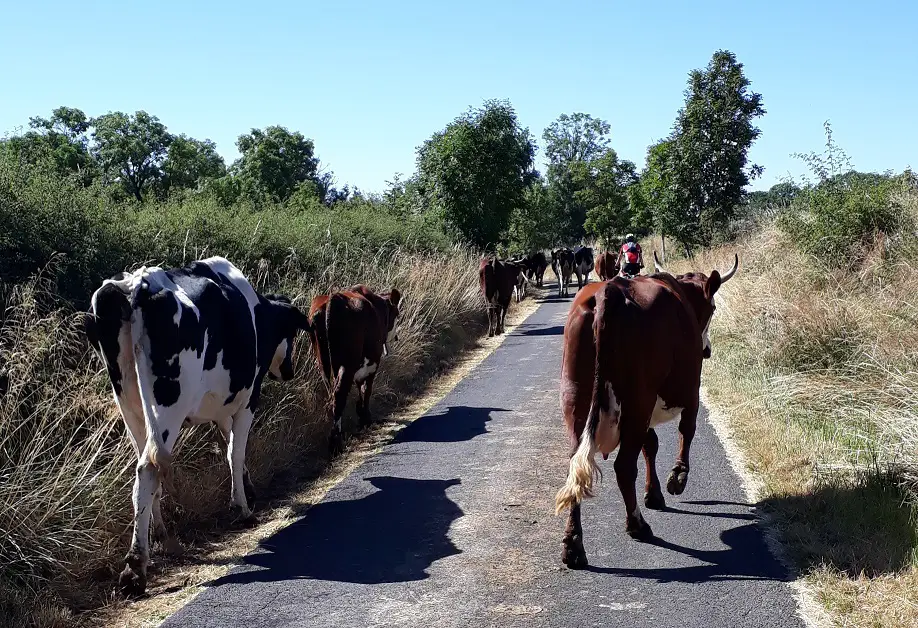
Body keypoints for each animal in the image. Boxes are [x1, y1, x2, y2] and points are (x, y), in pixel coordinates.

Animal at [82, 255, 310, 592]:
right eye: (291, 334)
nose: (288, 371)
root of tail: (138, 284)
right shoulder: (248, 397)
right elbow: (235, 450)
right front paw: (242, 508)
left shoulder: (221, 403)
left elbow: (229, 445)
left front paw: (247, 489)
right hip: (167, 405)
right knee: (149, 469)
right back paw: (136, 566)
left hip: (130, 405)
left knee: (145, 467)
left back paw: (160, 537)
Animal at [310, 284, 402, 452]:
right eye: (396, 313)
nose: (396, 336)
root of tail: (333, 299)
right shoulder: (373, 362)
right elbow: (366, 388)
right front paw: (366, 418)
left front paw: (361, 414)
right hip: (348, 362)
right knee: (339, 394)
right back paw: (336, 442)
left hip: (323, 364)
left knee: (331, 393)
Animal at [552, 251, 740, 568]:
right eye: (713, 308)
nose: (707, 350)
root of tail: (609, 292)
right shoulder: (690, 390)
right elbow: (686, 430)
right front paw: (677, 478)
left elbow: (650, 445)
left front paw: (654, 493)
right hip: (639, 398)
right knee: (624, 467)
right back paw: (637, 525)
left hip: (577, 399)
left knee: (575, 465)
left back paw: (573, 544)